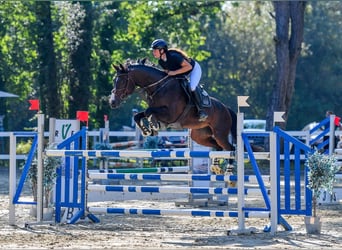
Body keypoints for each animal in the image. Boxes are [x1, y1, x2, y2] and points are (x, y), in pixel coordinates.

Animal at [110, 60, 238, 174]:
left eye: (122, 81)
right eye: (114, 80)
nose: (112, 102)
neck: (159, 87)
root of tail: (226, 107)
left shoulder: (171, 114)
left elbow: (148, 112)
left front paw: (153, 125)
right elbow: (138, 115)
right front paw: (147, 130)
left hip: (220, 133)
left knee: (230, 148)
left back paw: (228, 171)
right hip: (199, 136)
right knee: (218, 147)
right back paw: (216, 168)